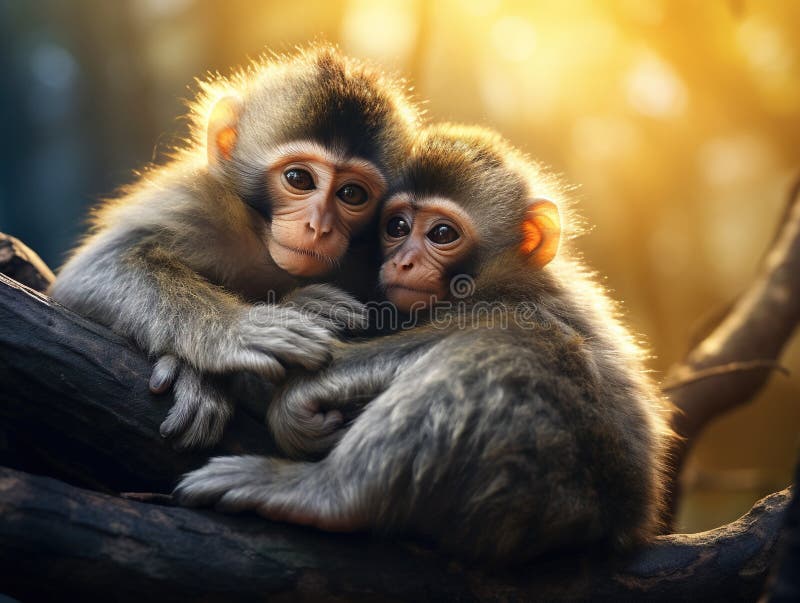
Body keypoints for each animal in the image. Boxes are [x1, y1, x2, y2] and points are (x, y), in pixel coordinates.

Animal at [48, 46, 421, 449]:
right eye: (298, 179)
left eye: (352, 194)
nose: (318, 226)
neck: (263, 244)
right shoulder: (194, 201)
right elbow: (92, 272)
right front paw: (243, 327)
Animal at [173, 124, 675, 564]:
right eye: (396, 226)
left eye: (441, 234)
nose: (404, 261)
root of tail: (627, 521)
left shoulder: (513, 300)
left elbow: (503, 330)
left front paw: (300, 392)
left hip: (560, 481)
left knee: (518, 349)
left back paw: (324, 492)